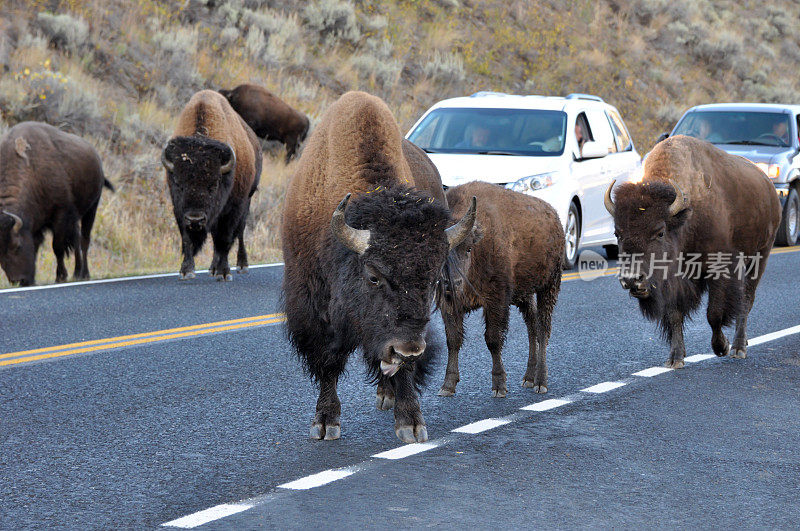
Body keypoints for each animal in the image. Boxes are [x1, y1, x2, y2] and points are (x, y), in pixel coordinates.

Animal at [0, 121, 114, 286]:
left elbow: (57, 247)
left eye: (18, 246)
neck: (32, 171)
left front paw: (60, 276)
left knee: (84, 240)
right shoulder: (38, 223)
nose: (18, 280)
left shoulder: (61, 216)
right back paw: (77, 273)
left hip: (91, 209)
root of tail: (96, 156)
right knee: (77, 240)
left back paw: (84, 274)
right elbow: (37, 247)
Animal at [162, 90, 262, 282]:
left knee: (239, 233)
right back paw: (212, 268)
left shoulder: (233, 208)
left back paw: (241, 265)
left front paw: (224, 273)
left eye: (213, 185)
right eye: (178, 184)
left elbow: (225, 239)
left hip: (247, 199)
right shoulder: (179, 209)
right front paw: (187, 271)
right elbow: (187, 239)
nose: (195, 219)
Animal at [282, 92, 476, 444]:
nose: (407, 350)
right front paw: (325, 423)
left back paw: (388, 394)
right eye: (373, 276)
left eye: (432, 280)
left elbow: (404, 368)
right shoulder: (313, 307)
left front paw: (411, 424)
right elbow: (328, 359)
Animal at [438, 181, 564, 396]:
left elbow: (493, 340)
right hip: (524, 294)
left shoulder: (496, 301)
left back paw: (540, 382)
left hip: (549, 286)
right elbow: (453, 340)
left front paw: (499, 386)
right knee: (532, 326)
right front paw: (447, 385)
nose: (452, 283)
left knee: (542, 329)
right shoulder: (448, 307)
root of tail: (554, 216)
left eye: (468, 249)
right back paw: (528, 377)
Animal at [608, 136, 780, 370]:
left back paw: (738, 348)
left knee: (746, 300)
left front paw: (721, 347)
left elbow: (714, 314)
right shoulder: (673, 281)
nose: (632, 280)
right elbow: (674, 315)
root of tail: (768, 185)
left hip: (760, 256)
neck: (685, 220)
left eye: (660, 232)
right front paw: (675, 358)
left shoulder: (719, 270)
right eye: (617, 233)